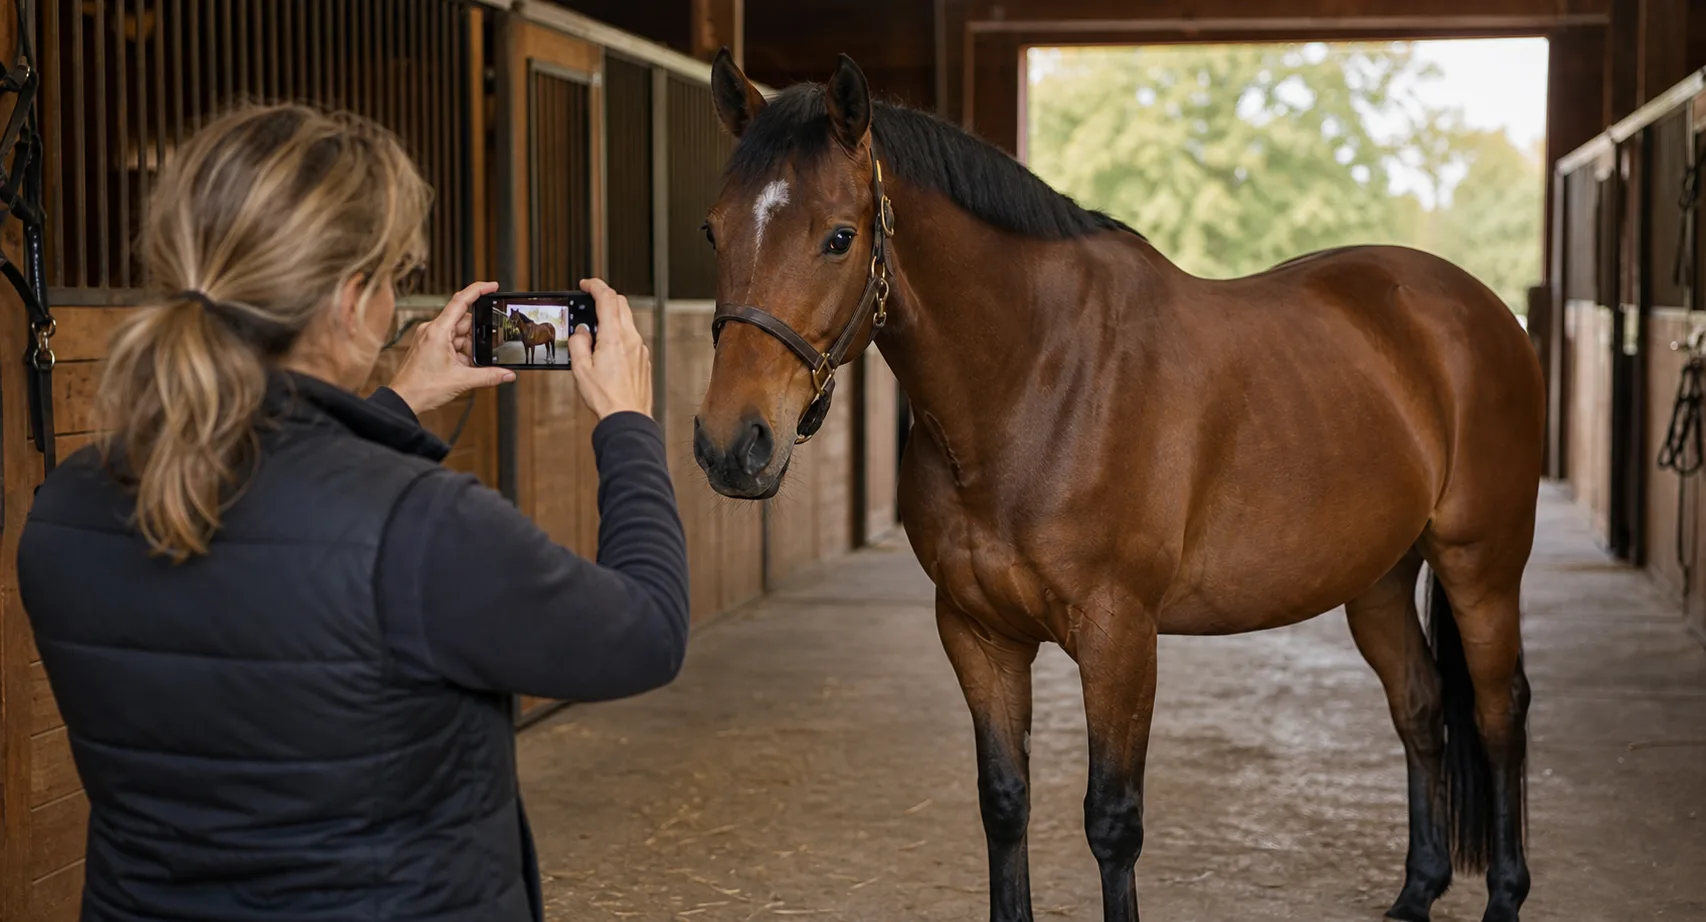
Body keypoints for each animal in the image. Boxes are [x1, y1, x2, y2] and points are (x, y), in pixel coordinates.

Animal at [690, 51, 1543, 922]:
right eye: (713, 230)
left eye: (838, 237)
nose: (733, 444)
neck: (1035, 379)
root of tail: (1480, 309)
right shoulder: (976, 632)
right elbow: (1004, 802)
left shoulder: (1119, 637)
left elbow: (1112, 821)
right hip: (1378, 578)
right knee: (1421, 708)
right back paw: (1417, 890)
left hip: (1481, 566)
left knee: (1498, 712)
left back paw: (1505, 895)